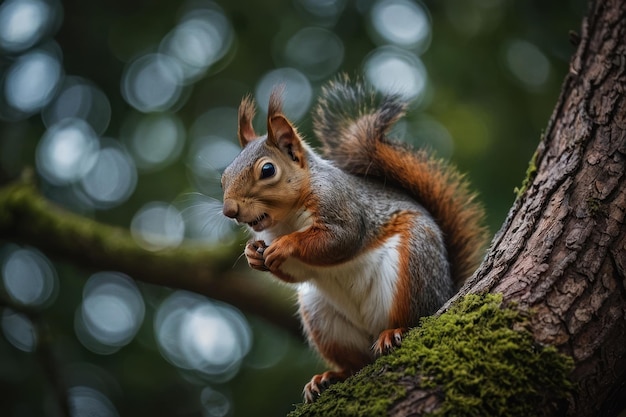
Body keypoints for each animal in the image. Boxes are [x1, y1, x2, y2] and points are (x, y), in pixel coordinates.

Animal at [219, 76, 488, 402]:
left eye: (268, 170)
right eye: (223, 177)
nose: (230, 210)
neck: (287, 219)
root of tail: (447, 290)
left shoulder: (342, 207)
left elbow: (339, 241)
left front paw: (286, 245)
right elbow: (298, 272)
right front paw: (253, 254)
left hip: (415, 267)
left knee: (414, 318)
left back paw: (394, 333)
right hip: (322, 317)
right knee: (356, 362)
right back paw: (329, 377)